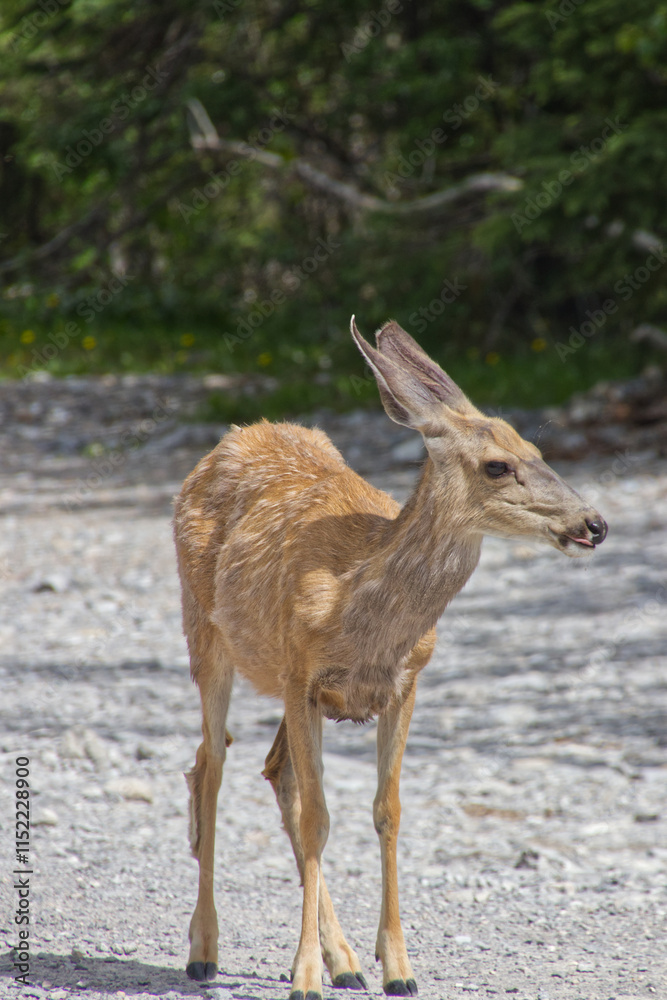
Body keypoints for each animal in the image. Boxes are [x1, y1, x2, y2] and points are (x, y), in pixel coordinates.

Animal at [173, 317, 607, 999]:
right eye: (499, 464)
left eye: (538, 452)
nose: (594, 524)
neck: (361, 610)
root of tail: (232, 438)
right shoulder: (301, 676)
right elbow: (321, 817)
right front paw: (304, 976)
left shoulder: (404, 683)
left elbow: (387, 811)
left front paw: (396, 967)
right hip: (205, 632)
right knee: (212, 764)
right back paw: (204, 949)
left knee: (273, 771)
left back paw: (344, 960)